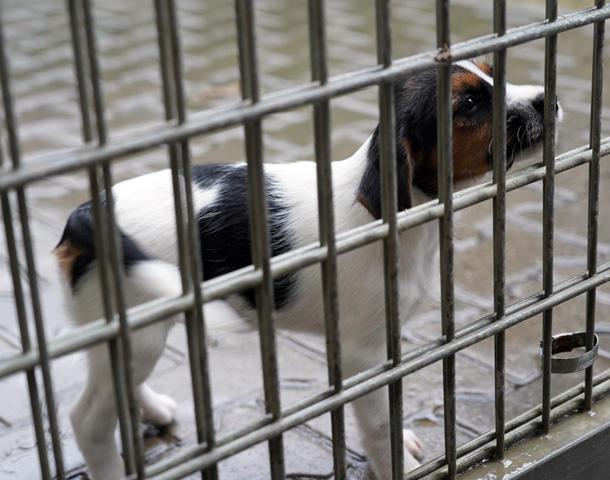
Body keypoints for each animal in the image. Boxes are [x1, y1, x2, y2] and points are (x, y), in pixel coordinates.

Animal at [54, 60, 561, 480]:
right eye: (470, 104)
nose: (549, 97)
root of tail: (87, 212)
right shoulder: (362, 353)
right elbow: (378, 421)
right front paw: (394, 463)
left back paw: (151, 409)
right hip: (138, 329)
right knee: (87, 421)